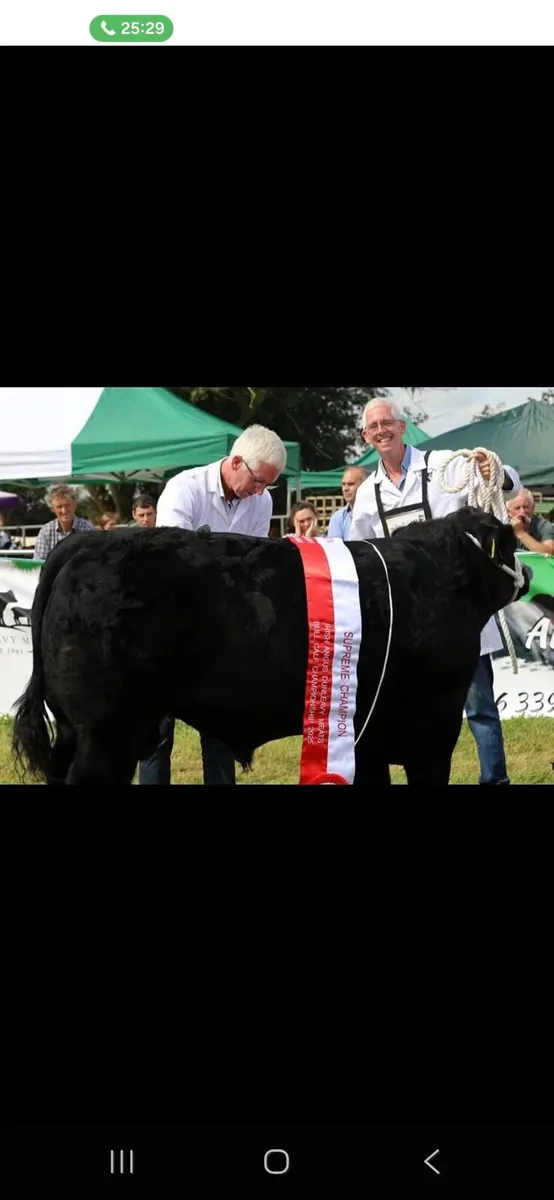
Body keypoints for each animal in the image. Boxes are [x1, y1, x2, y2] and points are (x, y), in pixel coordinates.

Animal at [12, 507, 528, 787]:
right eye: (508, 546)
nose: (525, 574)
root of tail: (85, 543)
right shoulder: (433, 728)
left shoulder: (368, 731)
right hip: (108, 728)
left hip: (79, 727)